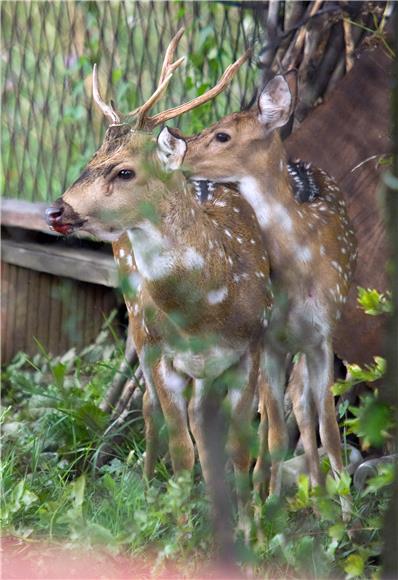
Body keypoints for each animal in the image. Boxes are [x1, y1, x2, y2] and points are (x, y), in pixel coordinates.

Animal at [45, 30, 272, 556]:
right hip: (141, 332)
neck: (208, 307)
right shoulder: (165, 356)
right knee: (152, 413)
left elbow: (238, 445)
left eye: (124, 171)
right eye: (90, 163)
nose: (56, 210)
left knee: (201, 424)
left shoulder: (251, 346)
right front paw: (183, 538)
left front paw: (250, 533)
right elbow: (180, 447)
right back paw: (152, 494)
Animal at [162, 69, 358, 516]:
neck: (302, 265)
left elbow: (329, 428)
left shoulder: (322, 335)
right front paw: (270, 507)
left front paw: (345, 514)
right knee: (277, 413)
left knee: (300, 405)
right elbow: (275, 433)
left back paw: (316, 493)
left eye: (222, 135)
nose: (176, 154)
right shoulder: (268, 339)